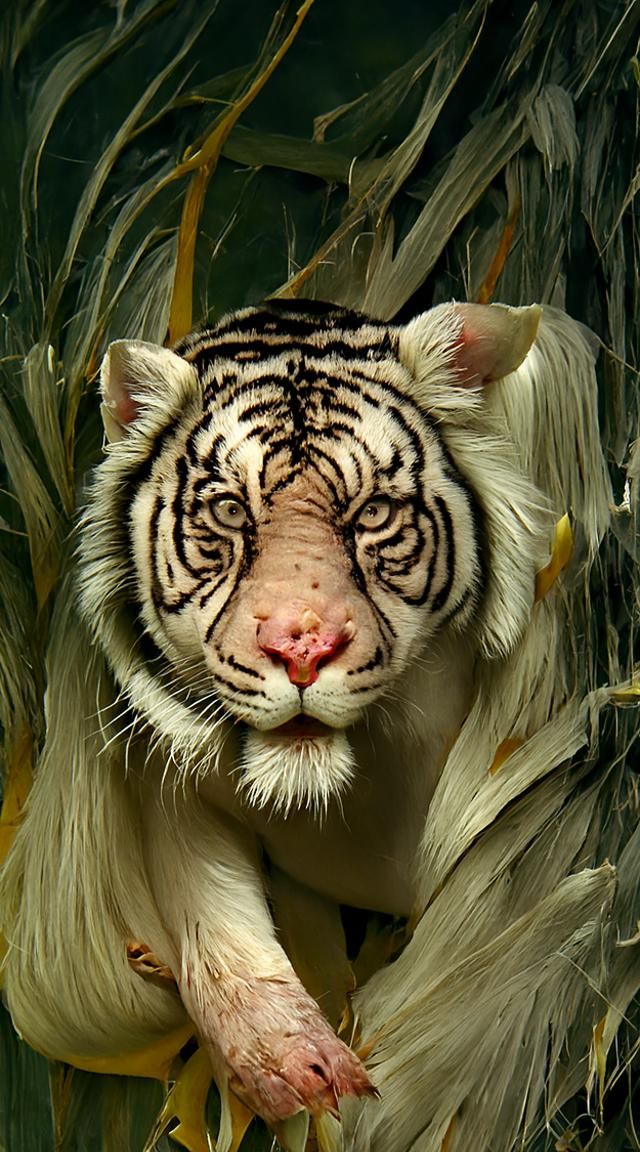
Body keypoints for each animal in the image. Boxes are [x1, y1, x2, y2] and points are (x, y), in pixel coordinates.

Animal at [1, 298, 612, 1149]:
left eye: (375, 512)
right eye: (230, 511)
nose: (301, 647)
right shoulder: (168, 779)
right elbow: (212, 922)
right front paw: (293, 1066)